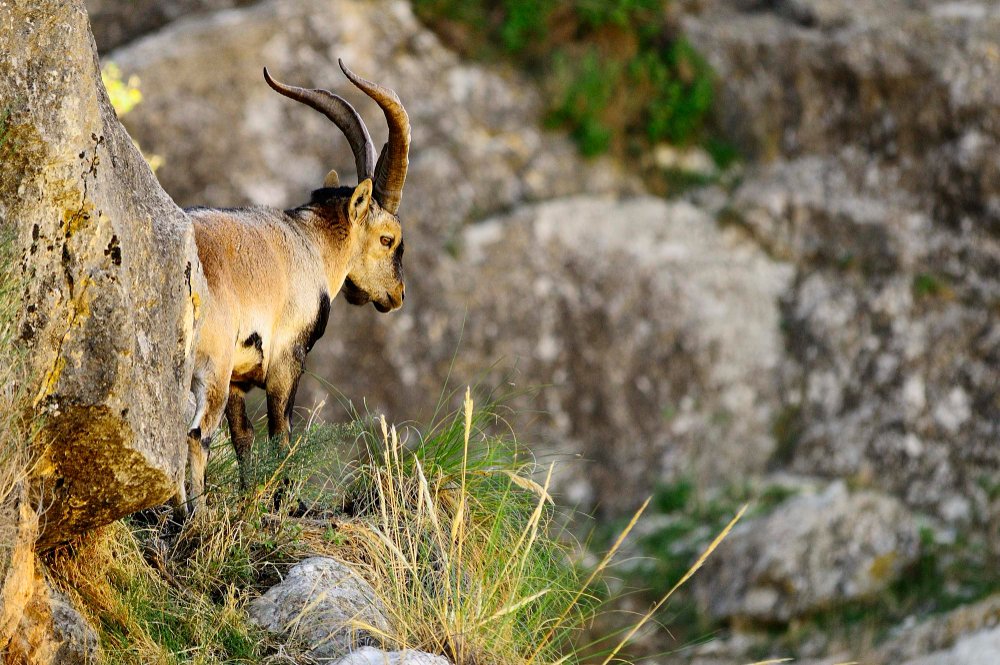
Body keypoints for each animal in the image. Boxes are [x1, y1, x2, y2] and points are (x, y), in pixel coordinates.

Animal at [173, 60, 410, 518]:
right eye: (388, 239)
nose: (397, 295)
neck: (310, 244)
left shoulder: (239, 376)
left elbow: (244, 437)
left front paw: (252, 499)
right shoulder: (286, 358)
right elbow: (281, 435)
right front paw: (286, 503)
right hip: (210, 364)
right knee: (196, 434)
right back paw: (196, 517)